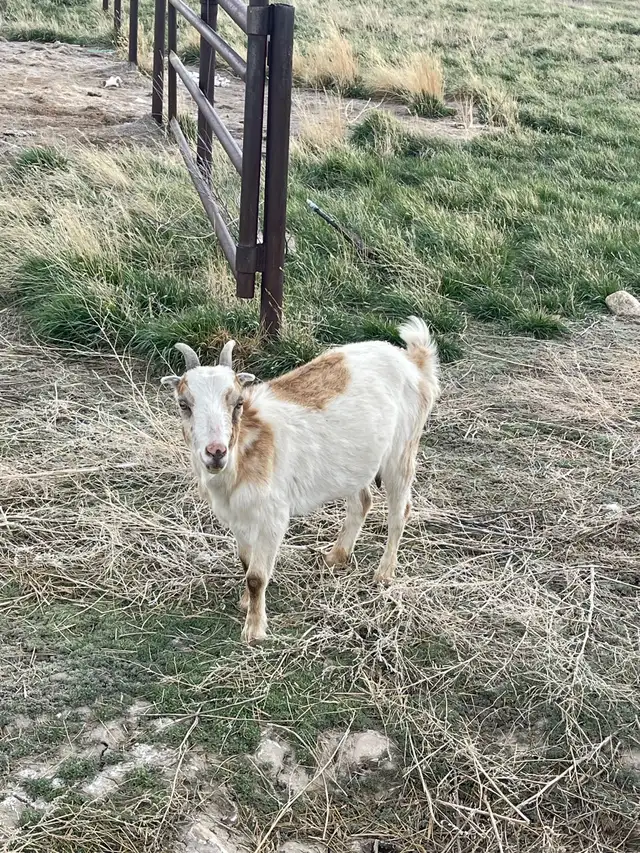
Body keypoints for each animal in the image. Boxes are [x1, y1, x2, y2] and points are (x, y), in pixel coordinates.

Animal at [162, 317, 440, 644]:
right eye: (183, 404)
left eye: (238, 402)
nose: (216, 452)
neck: (246, 450)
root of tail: (412, 361)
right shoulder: (237, 516)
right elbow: (246, 562)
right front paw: (245, 603)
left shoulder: (273, 515)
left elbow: (257, 576)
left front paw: (254, 630)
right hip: (357, 462)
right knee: (362, 501)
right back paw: (336, 557)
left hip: (402, 450)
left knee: (400, 511)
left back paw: (384, 574)